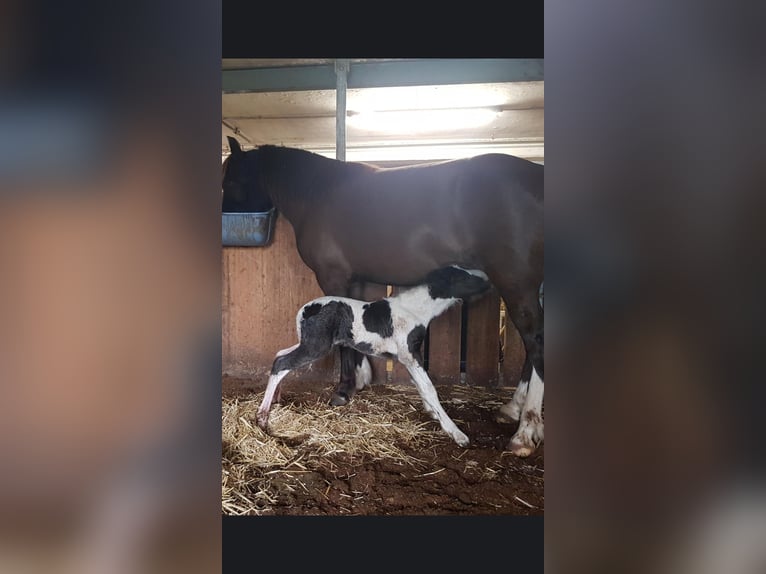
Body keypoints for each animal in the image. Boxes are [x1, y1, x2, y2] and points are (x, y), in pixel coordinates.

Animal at [260, 268, 492, 448]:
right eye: (464, 277)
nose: (488, 279)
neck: (415, 310)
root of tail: (304, 311)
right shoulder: (410, 355)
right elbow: (428, 387)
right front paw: (456, 433)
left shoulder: (409, 356)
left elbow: (420, 385)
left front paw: (433, 413)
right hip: (316, 346)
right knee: (282, 363)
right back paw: (262, 417)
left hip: (308, 343)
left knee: (279, 355)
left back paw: (276, 399)